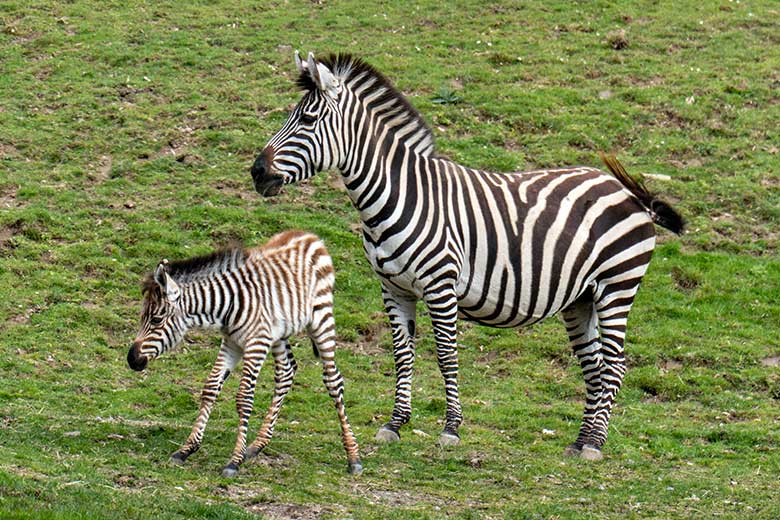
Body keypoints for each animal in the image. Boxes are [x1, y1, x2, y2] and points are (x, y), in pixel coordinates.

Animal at [125, 232, 362, 476]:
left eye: (156, 320)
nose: (131, 359)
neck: (226, 305)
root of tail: (309, 236)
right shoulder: (232, 343)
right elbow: (210, 388)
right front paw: (186, 449)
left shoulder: (255, 344)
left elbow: (244, 398)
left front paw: (234, 461)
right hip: (277, 333)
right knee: (286, 372)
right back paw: (257, 445)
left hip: (321, 319)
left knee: (333, 380)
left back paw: (353, 457)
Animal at [250, 51, 684, 460]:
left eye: (306, 119)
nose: (257, 172)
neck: (397, 194)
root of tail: (628, 192)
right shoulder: (393, 288)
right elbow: (402, 355)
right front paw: (395, 423)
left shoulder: (440, 285)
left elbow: (445, 355)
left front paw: (451, 428)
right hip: (581, 298)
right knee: (594, 367)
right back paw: (579, 442)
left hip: (617, 287)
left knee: (614, 365)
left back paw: (594, 443)